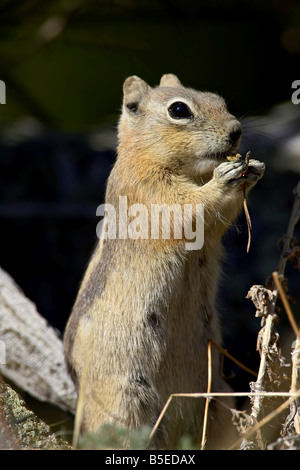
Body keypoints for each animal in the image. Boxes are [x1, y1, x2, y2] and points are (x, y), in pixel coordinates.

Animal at [63, 72, 264, 448]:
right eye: (179, 110)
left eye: (218, 99)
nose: (236, 130)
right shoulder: (151, 192)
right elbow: (188, 209)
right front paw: (226, 178)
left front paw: (254, 169)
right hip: (125, 407)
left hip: (217, 398)